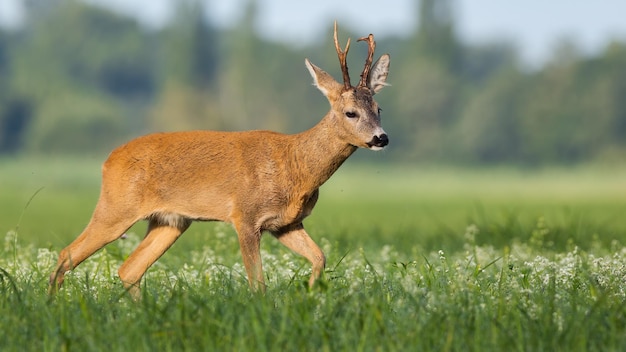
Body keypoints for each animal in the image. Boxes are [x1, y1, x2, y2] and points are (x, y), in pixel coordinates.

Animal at [50, 22, 390, 296]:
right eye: (351, 112)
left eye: (379, 109)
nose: (381, 138)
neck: (295, 166)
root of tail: (109, 160)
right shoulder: (246, 216)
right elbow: (257, 283)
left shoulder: (286, 223)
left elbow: (320, 257)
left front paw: (310, 296)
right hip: (116, 207)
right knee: (67, 254)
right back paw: (53, 305)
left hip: (170, 221)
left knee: (129, 268)